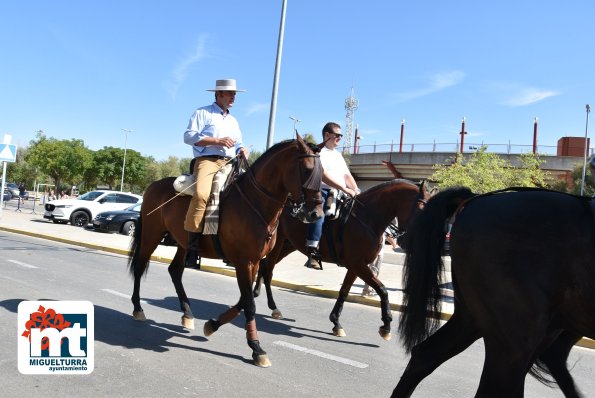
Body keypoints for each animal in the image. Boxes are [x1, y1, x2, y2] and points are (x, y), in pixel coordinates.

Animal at [127, 136, 324, 366]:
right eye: (307, 169)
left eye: (322, 170)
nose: (316, 213)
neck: (255, 203)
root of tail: (153, 185)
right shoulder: (243, 262)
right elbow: (249, 303)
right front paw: (256, 348)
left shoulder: (254, 261)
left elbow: (245, 300)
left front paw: (212, 324)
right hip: (152, 233)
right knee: (140, 265)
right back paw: (138, 309)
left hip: (182, 243)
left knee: (175, 271)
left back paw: (187, 315)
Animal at [254, 180, 430, 338]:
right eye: (422, 208)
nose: (407, 241)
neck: (367, 219)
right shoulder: (358, 264)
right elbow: (382, 289)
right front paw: (386, 326)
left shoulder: (356, 266)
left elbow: (344, 291)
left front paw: (336, 323)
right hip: (277, 244)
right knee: (268, 270)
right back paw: (273, 307)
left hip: (288, 245)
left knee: (263, 264)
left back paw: (256, 292)